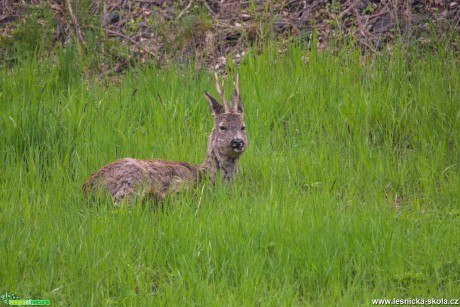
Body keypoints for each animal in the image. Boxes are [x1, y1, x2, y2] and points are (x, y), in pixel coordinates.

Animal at [82, 74, 248, 205]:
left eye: (243, 127)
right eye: (222, 127)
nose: (237, 142)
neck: (207, 177)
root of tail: (88, 188)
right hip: (132, 180)